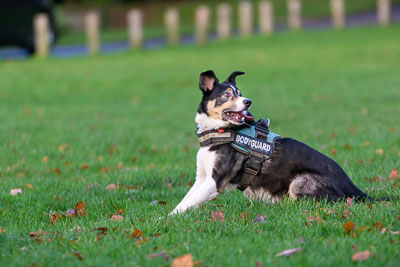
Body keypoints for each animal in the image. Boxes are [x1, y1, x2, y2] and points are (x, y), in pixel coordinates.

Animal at [170, 70, 376, 216]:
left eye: (240, 93)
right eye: (227, 95)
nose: (248, 101)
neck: (219, 132)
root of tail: (350, 185)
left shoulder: (215, 181)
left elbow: (185, 205)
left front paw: (167, 219)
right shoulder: (202, 178)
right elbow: (185, 200)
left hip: (300, 182)